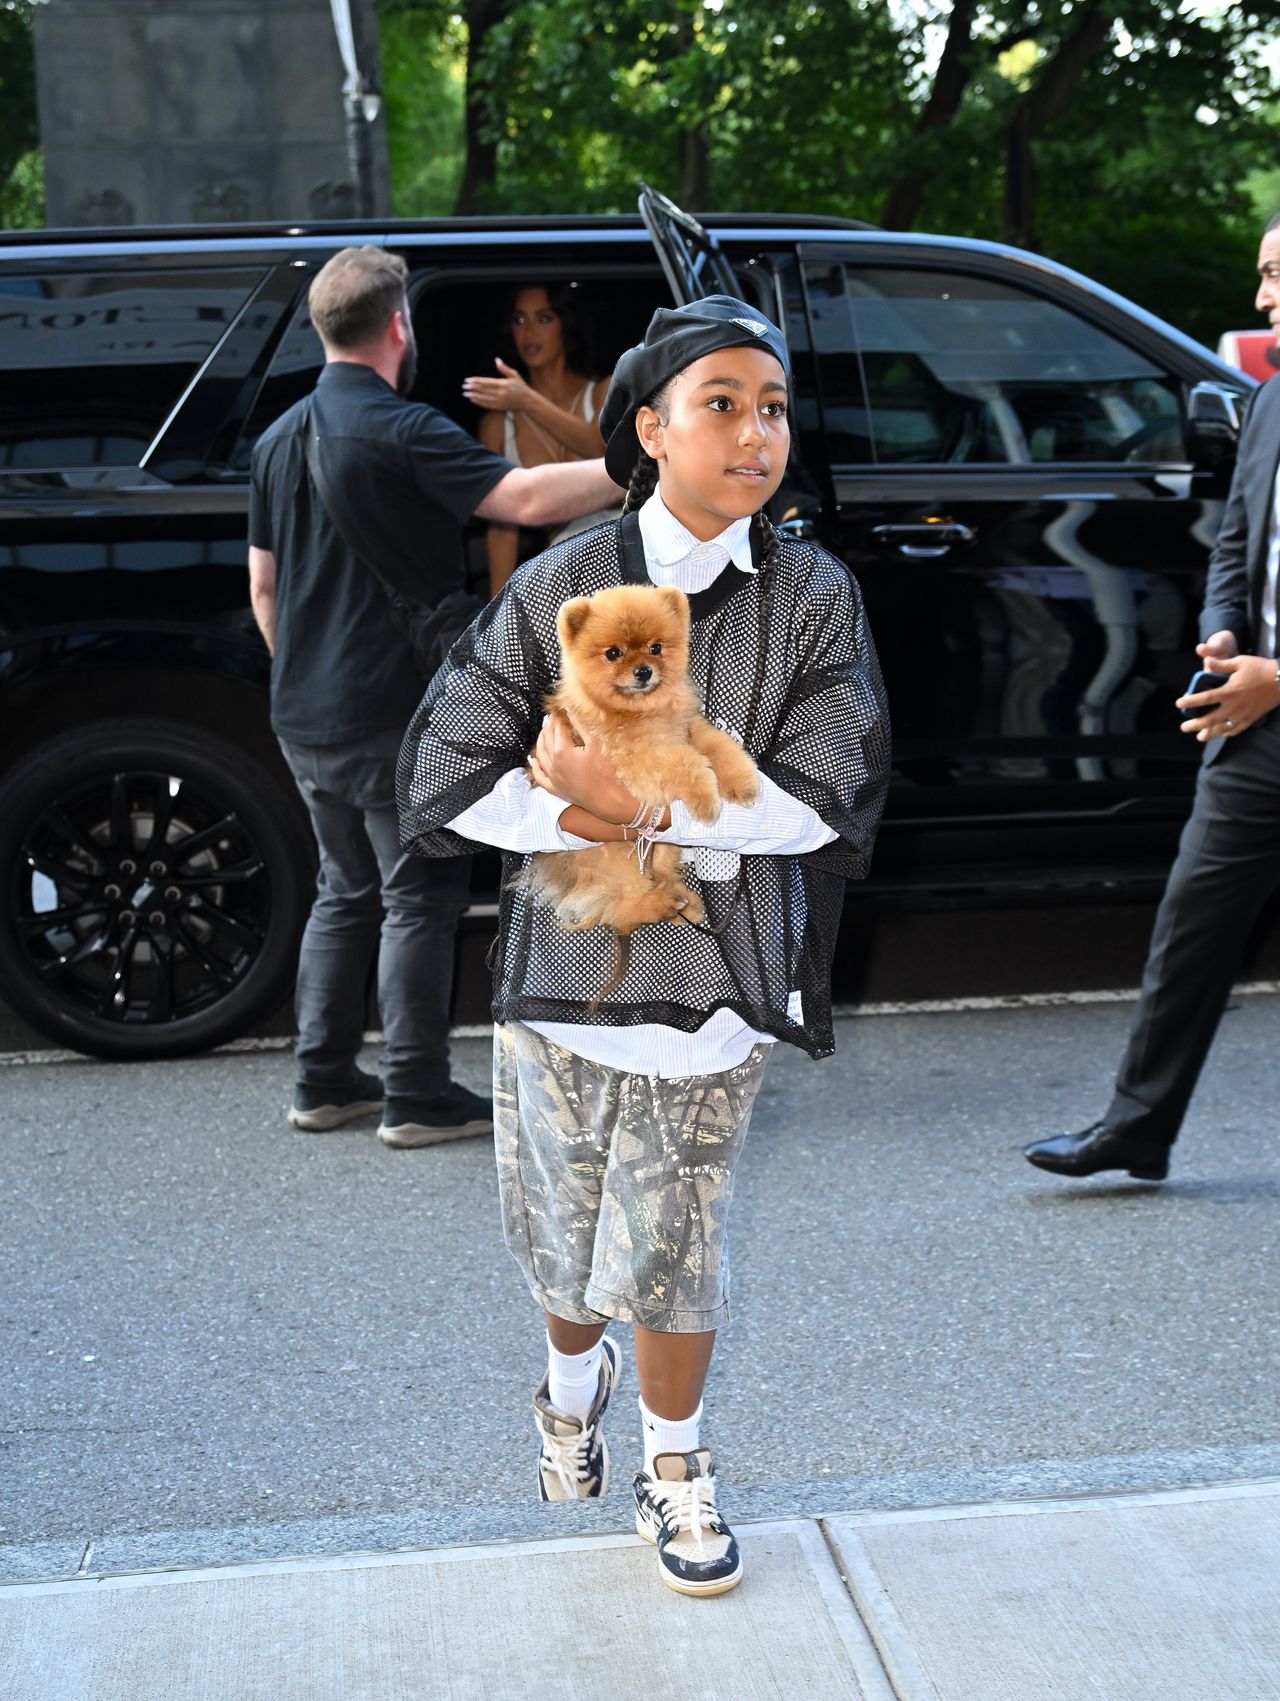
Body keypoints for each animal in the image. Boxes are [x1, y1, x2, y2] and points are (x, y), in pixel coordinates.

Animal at [520, 585, 759, 952]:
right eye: (613, 653)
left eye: (656, 648)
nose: (644, 670)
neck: (641, 713)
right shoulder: (638, 759)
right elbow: (687, 761)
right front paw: (706, 798)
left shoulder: (689, 729)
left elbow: (721, 748)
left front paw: (741, 783)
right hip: (617, 863)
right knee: (623, 906)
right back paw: (665, 903)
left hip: (662, 850)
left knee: (660, 878)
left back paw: (684, 902)